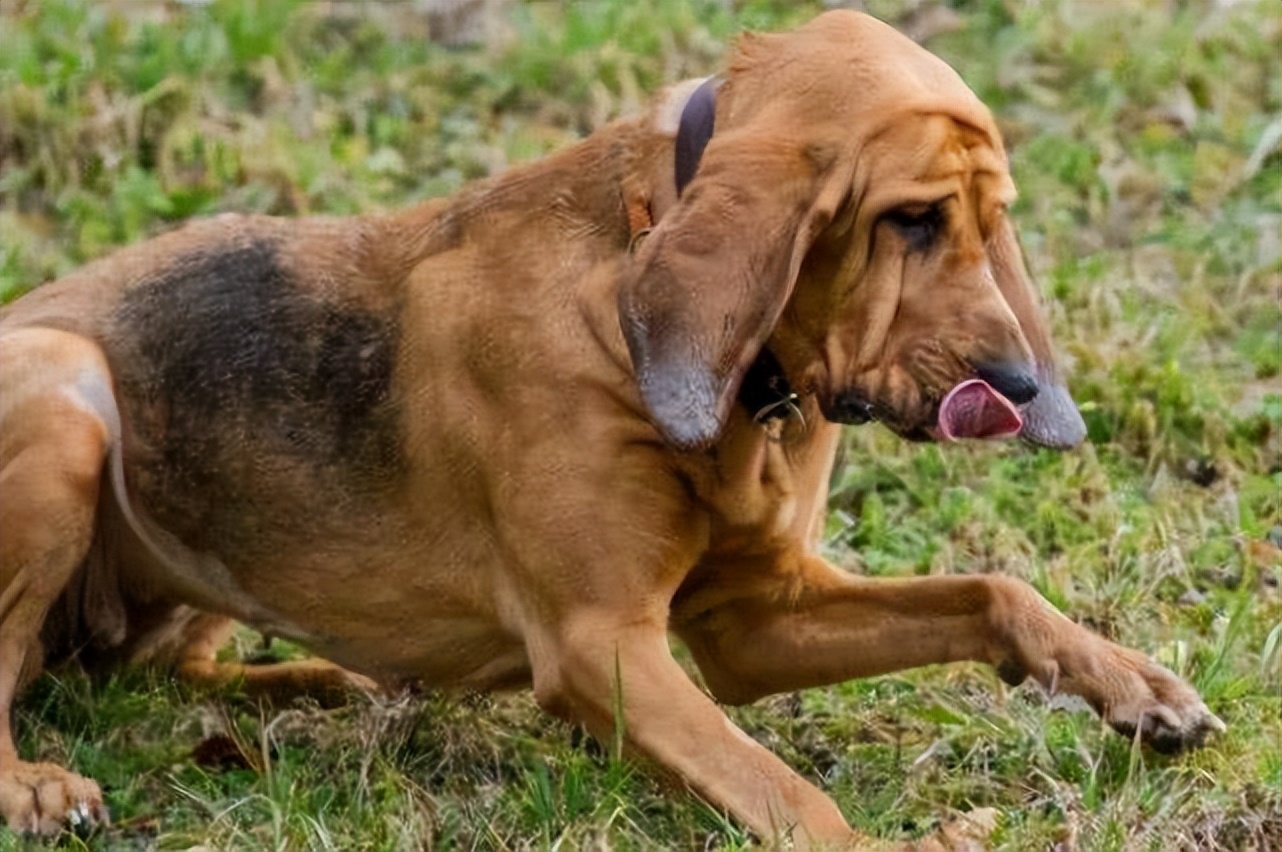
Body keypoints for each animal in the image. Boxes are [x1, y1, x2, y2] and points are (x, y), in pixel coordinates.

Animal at [0, 9, 1220, 845]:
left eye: (989, 219)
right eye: (911, 221)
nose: (1014, 384)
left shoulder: (754, 624)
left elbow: (991, 590)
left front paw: (1131, 685)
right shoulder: (603, 644)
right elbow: (790, 798)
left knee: (170, 669)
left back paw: (321, 684)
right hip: (68, 392)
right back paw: (37, 785)